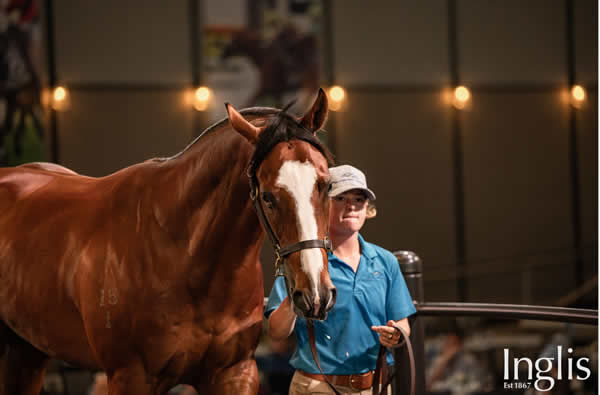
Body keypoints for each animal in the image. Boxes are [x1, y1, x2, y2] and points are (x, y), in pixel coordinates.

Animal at [0, 88, 338, 394]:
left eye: (326, 184)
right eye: (268, 196)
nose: (315, 294)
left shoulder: (234, 374)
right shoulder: (130, 378)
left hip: (26, 353)